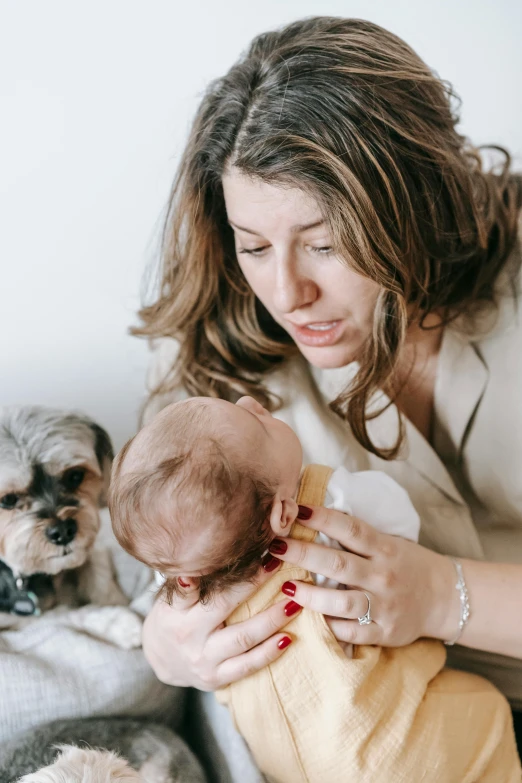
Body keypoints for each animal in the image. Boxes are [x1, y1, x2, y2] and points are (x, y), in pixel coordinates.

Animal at [0, 404, 142, 648]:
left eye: (75, 476)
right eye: (8, 500)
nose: (63, 532)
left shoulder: (93, 544)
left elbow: (97, 570)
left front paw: (116, 600)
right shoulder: (23, 621)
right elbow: (67, 612)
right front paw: (116, 621)